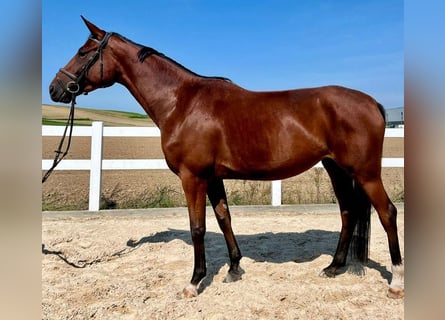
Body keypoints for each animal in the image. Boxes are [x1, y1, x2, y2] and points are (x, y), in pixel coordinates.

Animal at [48, 16, 402, 298]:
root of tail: (372, 102)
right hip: (336, 168)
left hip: (365, 172)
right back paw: (334, 266)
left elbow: (198, 227)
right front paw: (234, 268)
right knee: (348, 212)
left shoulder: (193, 177)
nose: (55, 88)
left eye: (83, 52)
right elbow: (223, 218)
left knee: (387, 213)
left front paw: (194, 282)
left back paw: (396, 281)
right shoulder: (213, 177)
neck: (182, 102)